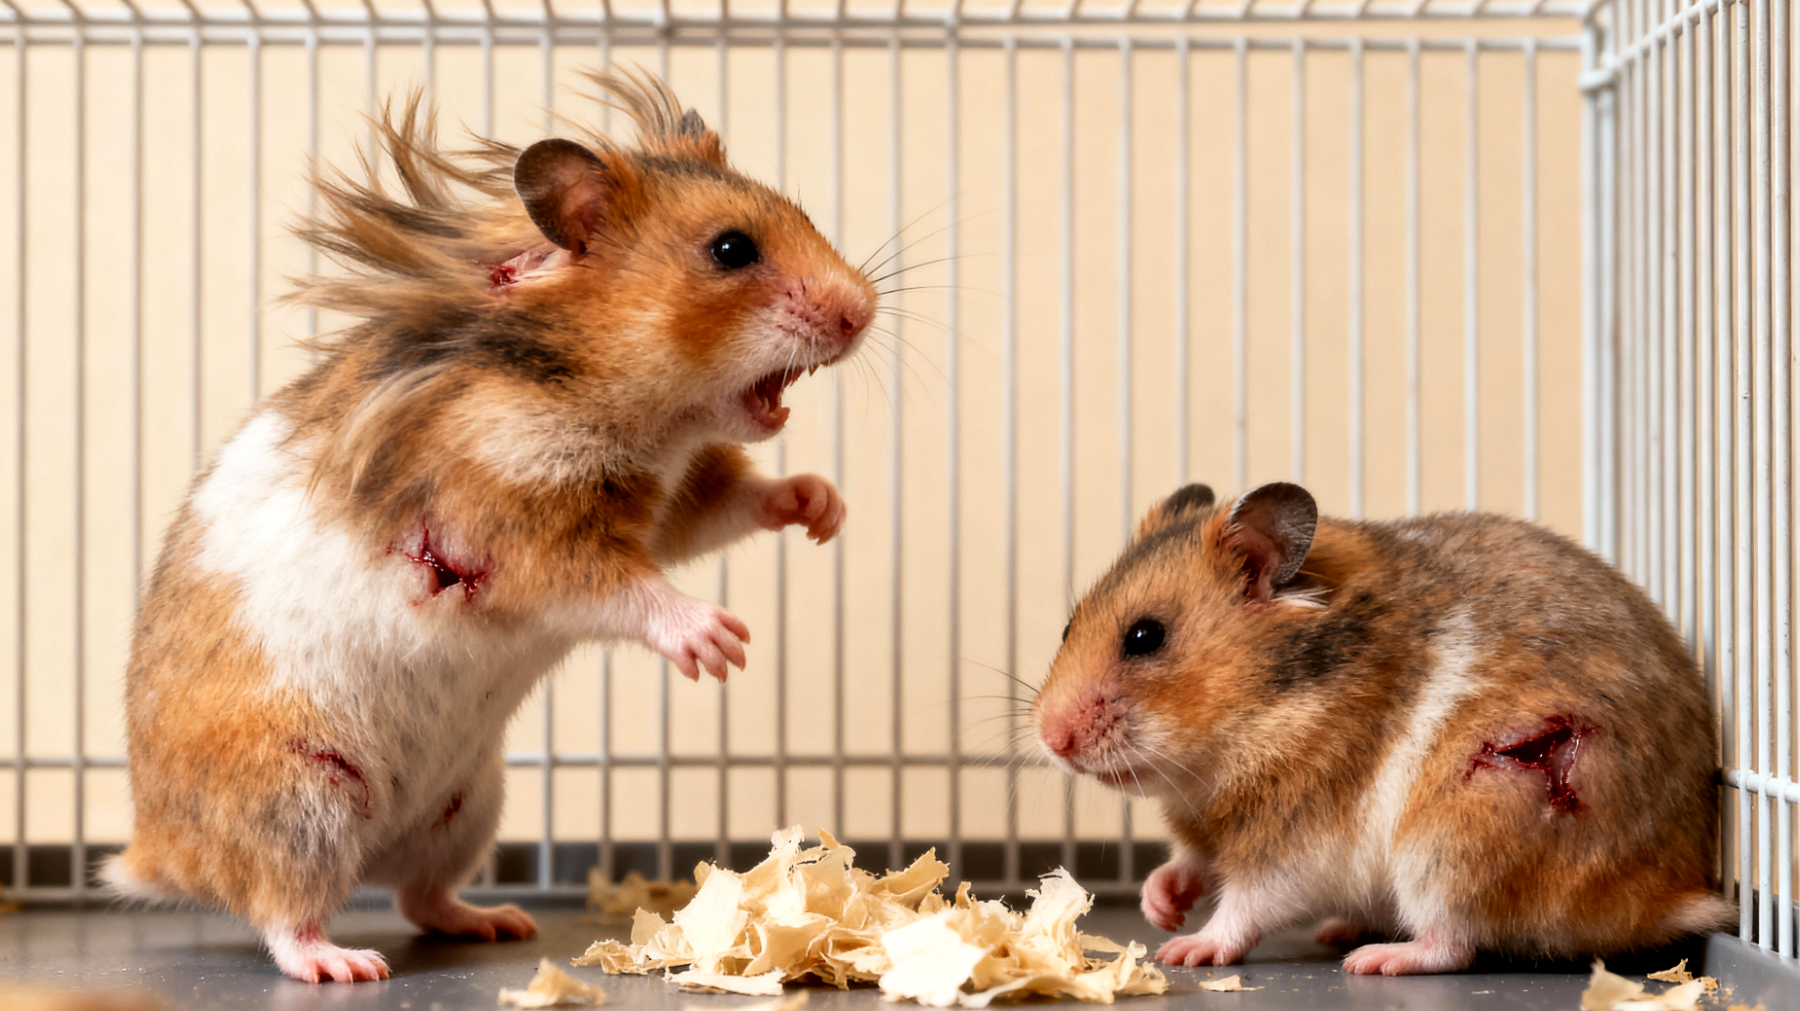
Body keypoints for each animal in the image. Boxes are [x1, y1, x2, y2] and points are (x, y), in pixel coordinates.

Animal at [103, 71, 875, 983]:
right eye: (730, 250)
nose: (864, 312)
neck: (626, 407)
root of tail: (156, 850)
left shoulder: (671, 503)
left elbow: (735, 500)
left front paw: (823, 508)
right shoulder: (524, 533)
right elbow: (621, 588)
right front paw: (720, 643)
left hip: (468, 805)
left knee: (420, 895)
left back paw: (497, 921)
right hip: (297, 799)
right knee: (284, 910)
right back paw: (346, 963)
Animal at [1033, 482, 1732, 975]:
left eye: (1144, 637)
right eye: (1066, 627)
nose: (1051, 740)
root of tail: (1667, 895)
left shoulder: (1297, 842)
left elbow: (1248, 903)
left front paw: (1184, 950)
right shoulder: (1210, 824)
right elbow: (1190, 863)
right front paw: (1160, 909)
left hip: (1456, 840)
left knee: (1456, 942)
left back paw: (1373, 959)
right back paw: (1344, 931)